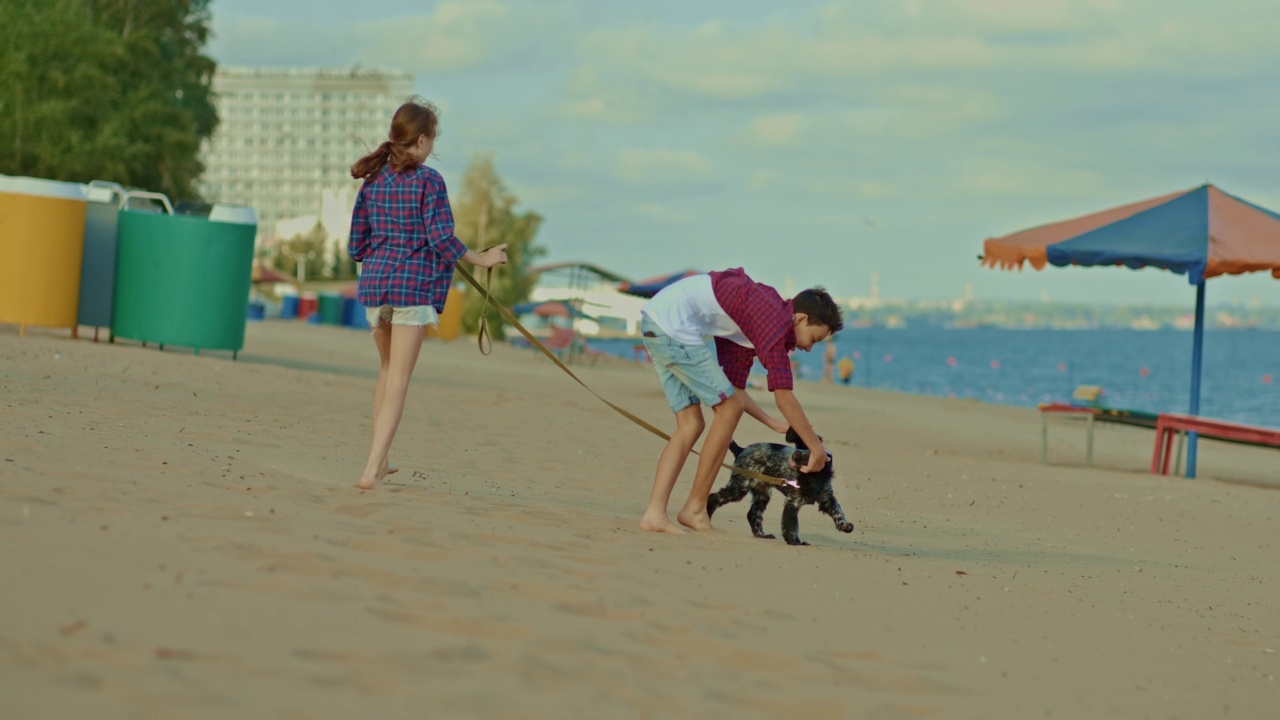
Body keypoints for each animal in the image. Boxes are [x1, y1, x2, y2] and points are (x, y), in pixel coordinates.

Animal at [706, 425, 855, 543]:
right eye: (801, 447)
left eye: (810, 453)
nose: (795, 453)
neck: (813, 479)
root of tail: (741, 449)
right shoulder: (792, 502)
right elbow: (792, 525)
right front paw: (795, 542)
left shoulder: (827, 499)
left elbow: (838, 512)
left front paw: (845, 525)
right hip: (739, 487)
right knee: (713, 497)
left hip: (762, 494)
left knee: (752, 514)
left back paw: (762, 535)